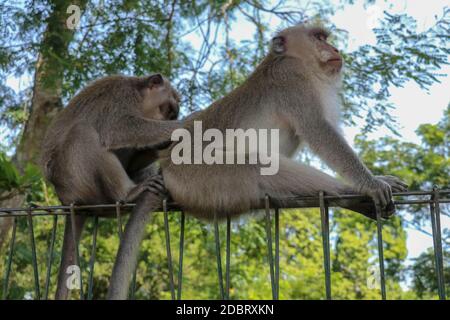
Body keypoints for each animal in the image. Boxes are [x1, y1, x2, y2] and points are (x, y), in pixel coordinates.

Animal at [40, 74, 181, 298]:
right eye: (167, 110)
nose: (170, 120)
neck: (139, 96)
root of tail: (68, 202)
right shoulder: (121, 98)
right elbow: (118, 129)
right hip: (74, 179)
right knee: (83, 132)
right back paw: (128, 193)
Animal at [109, 23, 408, 298]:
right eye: (318, 38)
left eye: (326, 38)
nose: (334, 49)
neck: (292, 61)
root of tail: (166, 169)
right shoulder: (293, 81)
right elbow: (319, 132)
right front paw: (372, 184)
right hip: (199, 175)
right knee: (259, 166)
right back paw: (351, 196)